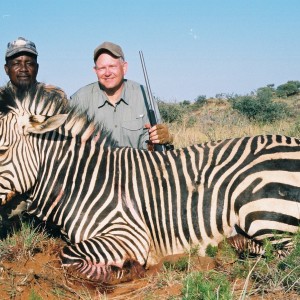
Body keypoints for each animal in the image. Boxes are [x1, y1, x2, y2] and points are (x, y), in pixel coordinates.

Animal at [0, 84, 298, 282]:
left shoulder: (129, 234)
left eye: (1, 151)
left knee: (286, 257)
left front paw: (124, 270)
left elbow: (68, 256)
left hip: (260, 209)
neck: (83, 180)